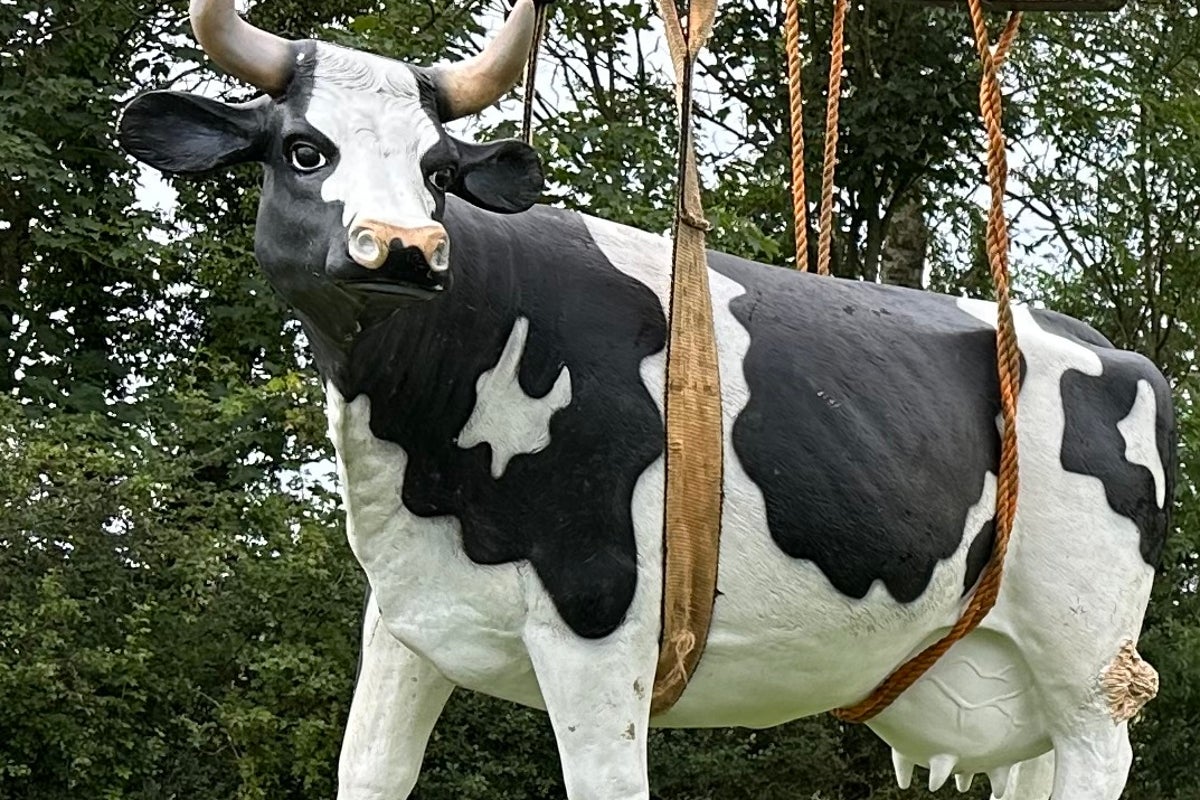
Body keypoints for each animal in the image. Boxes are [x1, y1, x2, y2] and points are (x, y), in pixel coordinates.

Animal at [117, 2, 1174, 798]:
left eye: (438, 170)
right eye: (304, 149)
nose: (408, 248)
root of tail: (1100, 343)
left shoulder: (598, 616)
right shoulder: (406, 620)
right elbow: (371, 770)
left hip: (1088, 663)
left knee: (1099, 751)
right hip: (1014, 686)